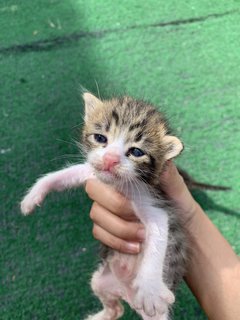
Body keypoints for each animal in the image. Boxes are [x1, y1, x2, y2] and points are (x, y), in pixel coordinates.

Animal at [20, 94, 189, 320]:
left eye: (136, 151)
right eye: (100, 138)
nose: (110, 159)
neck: (117, 185)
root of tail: (126, 293)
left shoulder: (153, 203)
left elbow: (158, 236)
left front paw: (150, 289)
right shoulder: (92, 172)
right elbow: (66, 175)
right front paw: (33, 194)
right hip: (101, 281)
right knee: (115, 308)